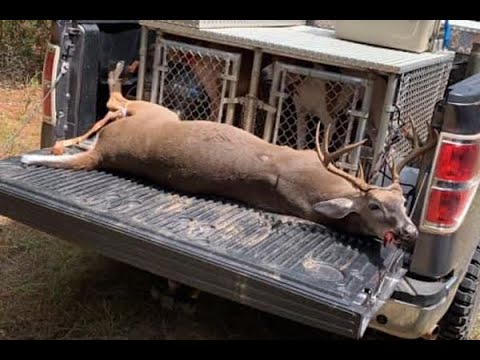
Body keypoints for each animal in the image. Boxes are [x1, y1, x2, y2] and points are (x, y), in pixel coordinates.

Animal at [23, 62, 438, 248]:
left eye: (403, 203)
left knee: (112, 106)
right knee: (112, 105)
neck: (322, 186)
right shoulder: (304, 152)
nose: (410, 231)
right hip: (155, 111)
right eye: (376, 206)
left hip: (155, 114)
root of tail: (107, 152)